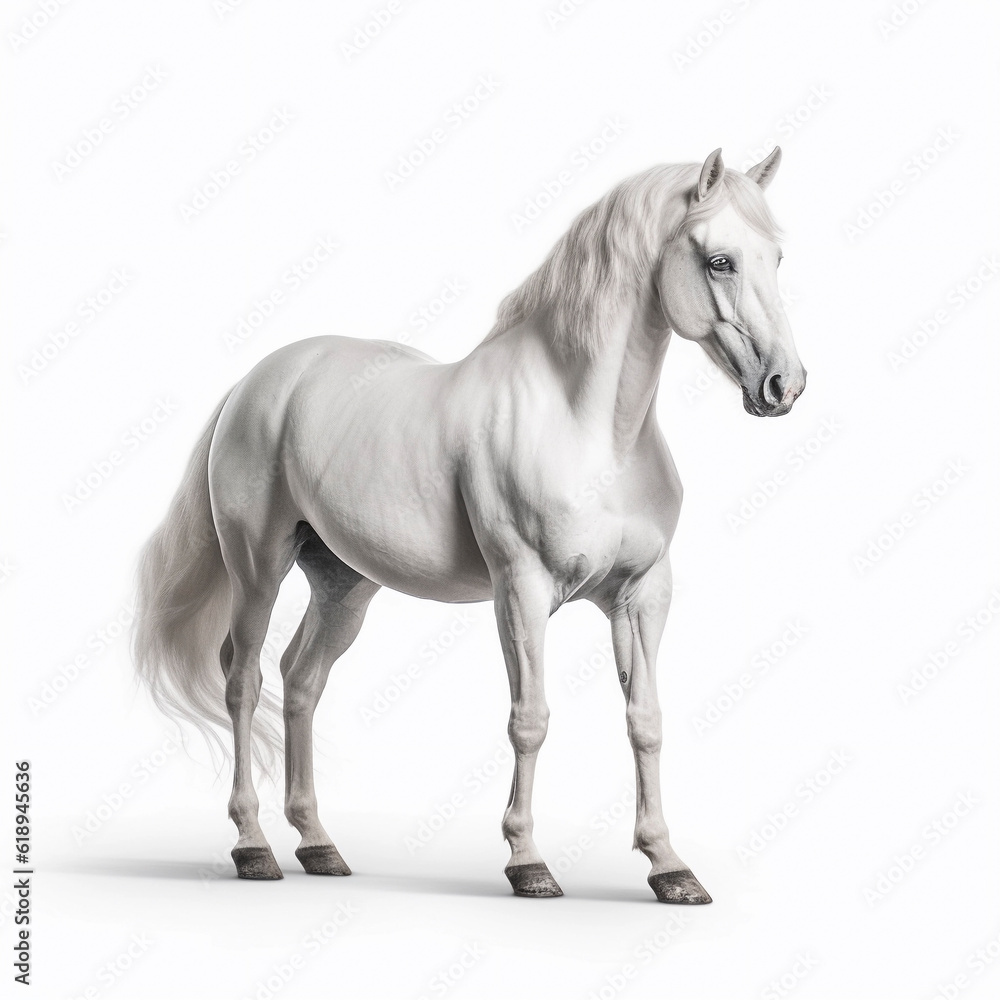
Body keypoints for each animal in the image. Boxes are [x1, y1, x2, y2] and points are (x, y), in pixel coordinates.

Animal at [133, 146, 805, 903]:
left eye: (776, 256)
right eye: (720, 260)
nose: (784, 385)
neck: (590, 430)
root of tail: (256, 382)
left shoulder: (642, 596)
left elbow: (646, 723)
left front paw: (669, 866)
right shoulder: (522, 587)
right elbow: (530, 719)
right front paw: (528, 862)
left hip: (343, 586)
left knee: (301, 681)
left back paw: (318, 844)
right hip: (257, 566)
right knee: (243, 680)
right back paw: (253, 846)